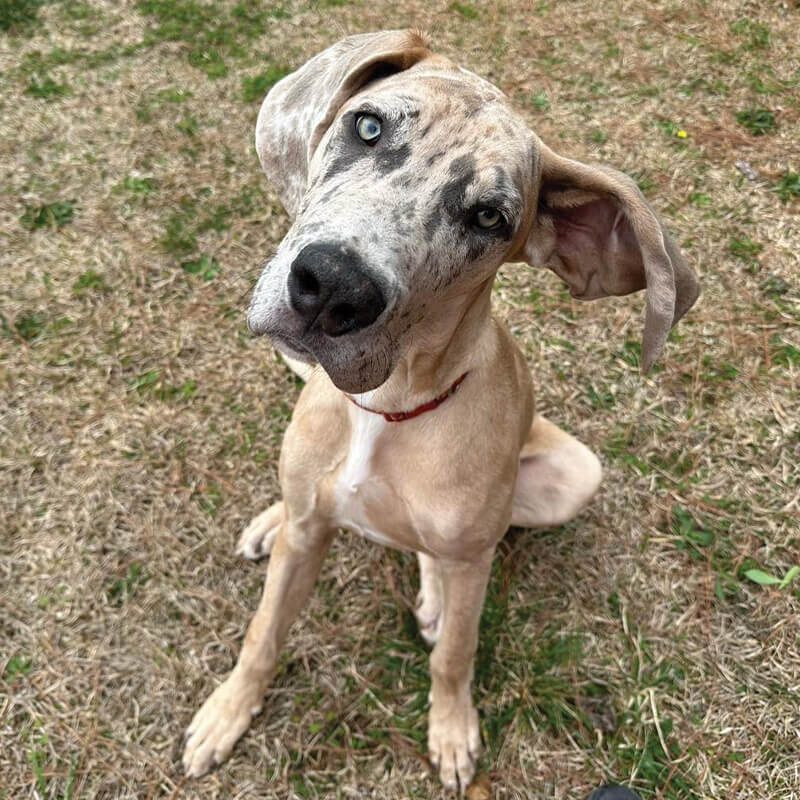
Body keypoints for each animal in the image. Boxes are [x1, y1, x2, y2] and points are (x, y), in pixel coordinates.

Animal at [183, 28, 700, 792]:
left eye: (489, 217)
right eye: (368, 126)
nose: (331, 287)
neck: (387, 408)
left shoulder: (472, 562)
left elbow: (455, 654)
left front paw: (453, 731)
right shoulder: (305, 543)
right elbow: (263, 632)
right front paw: (227, 712)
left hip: (569, 477)